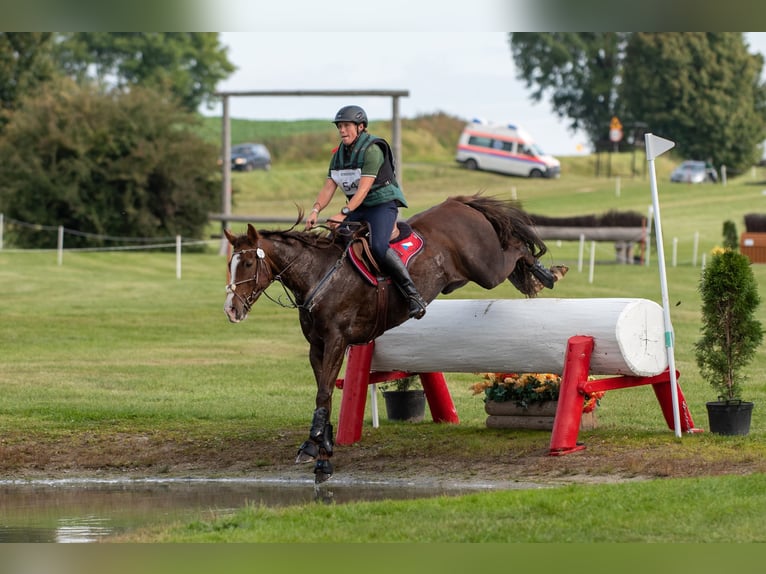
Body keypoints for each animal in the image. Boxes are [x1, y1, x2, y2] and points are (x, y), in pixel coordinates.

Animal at [223, 194, 567, 483]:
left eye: (249, 263)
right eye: (229, 264)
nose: (231, 310)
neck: (319, 274)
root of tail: (459, 202)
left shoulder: (336, 340)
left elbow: (323, 394)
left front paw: (317, 451)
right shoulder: (316, 346)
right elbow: (325, 395)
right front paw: (320, 451)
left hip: (485, 269)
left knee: (517, 249)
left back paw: (548, 274)